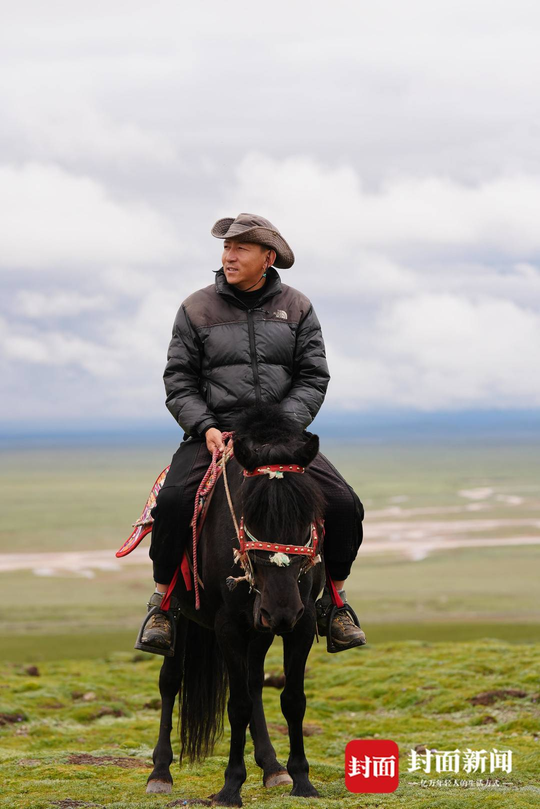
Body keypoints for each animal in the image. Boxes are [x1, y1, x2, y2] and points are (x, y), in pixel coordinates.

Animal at [146, 408, 326, 804]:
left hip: (259, 630)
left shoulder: (302, 623)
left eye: (306, 516)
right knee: (170, 681)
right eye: (249, 515)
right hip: (183, 614)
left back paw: (273, 768)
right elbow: (237, 704)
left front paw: (302, 780)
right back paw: (160, 773)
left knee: (255, 683)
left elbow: (292, 698)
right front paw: (230, 787)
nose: (280, 610)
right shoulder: (228, 624)